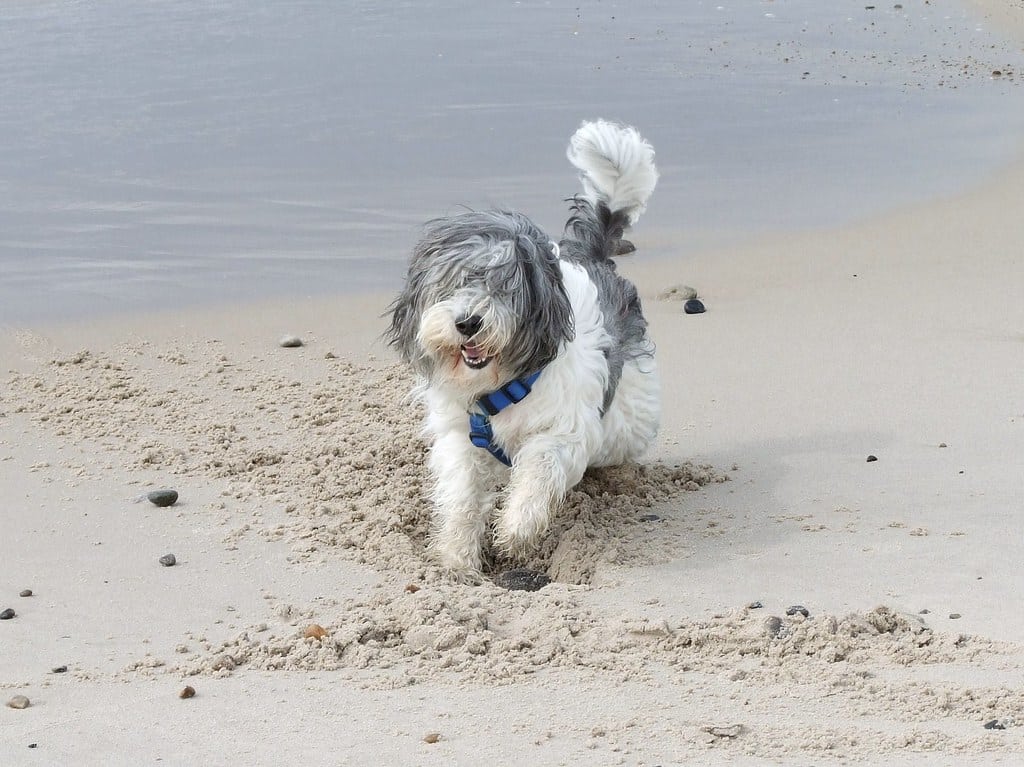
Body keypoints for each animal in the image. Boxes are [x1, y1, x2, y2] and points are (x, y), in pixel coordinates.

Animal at [385, 118, 663, 573]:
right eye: (450, 284)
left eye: (504, 286)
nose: (468, 322)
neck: (503, 385)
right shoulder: (460, 434)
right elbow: (462, 495)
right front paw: (455, 557)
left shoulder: (564, 429)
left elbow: (539, 470)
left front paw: (515, 533)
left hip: (630, 410)